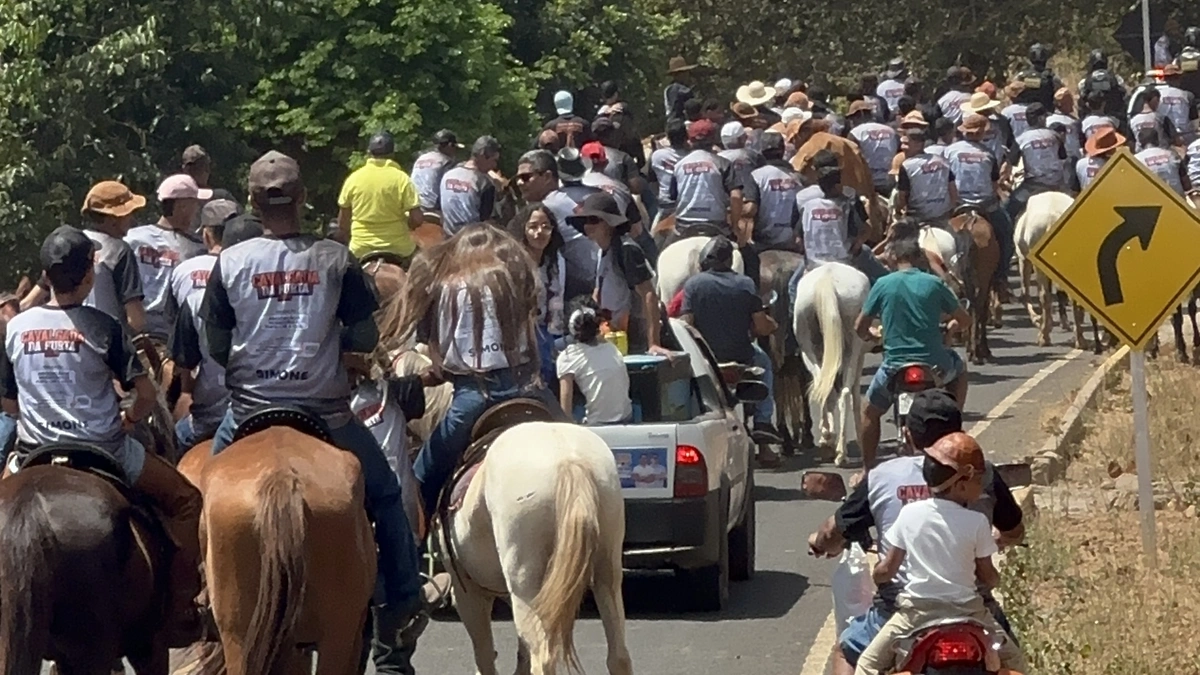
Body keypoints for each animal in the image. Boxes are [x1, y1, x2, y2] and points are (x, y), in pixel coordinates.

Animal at [792, 260, 868, 466]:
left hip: (807, 349)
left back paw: (830, 440)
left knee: (823, 386)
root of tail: (827, 279)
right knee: (845, 393)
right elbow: (854, 394)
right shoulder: (860, 356)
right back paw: (838, 449)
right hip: (852, 347)